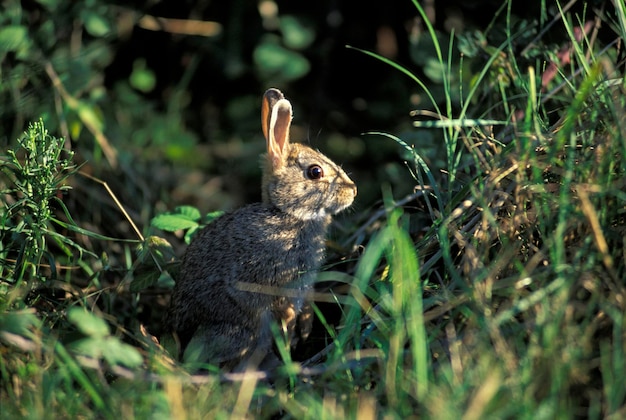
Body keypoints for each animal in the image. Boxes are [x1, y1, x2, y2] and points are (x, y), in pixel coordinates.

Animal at [161, 88, 356, 370]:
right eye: (315, 172)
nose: (353, 191)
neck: (287, 214)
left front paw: (305, 328)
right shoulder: (280, 281)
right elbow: (284, 311)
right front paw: (291, 341)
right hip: (239, 332)